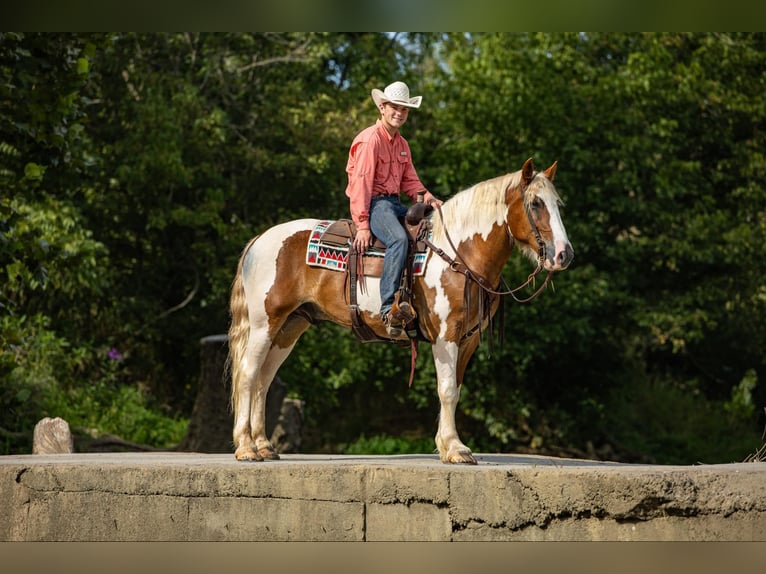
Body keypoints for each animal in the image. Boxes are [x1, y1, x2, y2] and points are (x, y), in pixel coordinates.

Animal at [227, 158, 574, 464]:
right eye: (535, 204)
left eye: (558, 203)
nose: (564, 254)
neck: (458, 254)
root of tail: (259, 240)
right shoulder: (445, 336)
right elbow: (447, 390)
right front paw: (456, 449)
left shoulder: (469, 339)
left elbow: (456, 389)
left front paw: (448, 445)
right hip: (264, 324)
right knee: (248, 374)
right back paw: (246, 448)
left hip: (289, 327)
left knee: (264, 379)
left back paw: (264, 446)